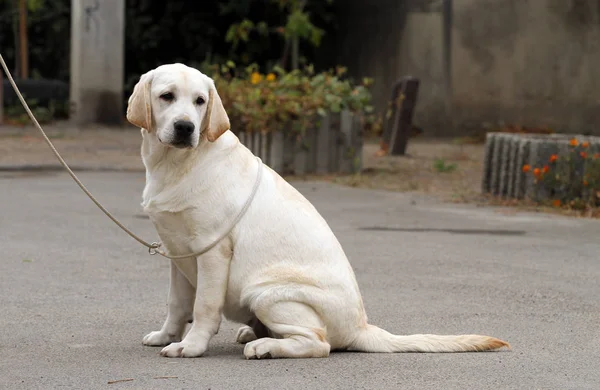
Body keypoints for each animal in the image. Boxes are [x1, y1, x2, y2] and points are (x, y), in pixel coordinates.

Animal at [126, 64, 510, 360]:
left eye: (200, 102)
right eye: (166, 96)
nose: (186, 127)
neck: (176, 165)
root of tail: (361, 328)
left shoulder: (212, 251)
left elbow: (203, 306)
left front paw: (190, 347)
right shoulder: (177, 251)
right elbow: (177, 303)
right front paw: (166, 336)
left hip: (266, 292)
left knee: (318, 342)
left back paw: (265, 347)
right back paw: (257, 335)